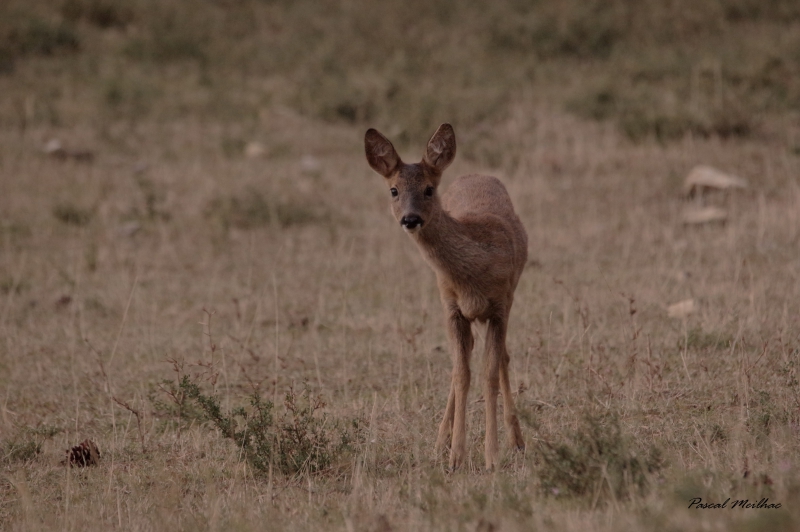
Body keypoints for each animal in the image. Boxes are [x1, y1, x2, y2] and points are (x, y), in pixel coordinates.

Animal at [366, 123, 528, 470]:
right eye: (393, 190)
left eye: (429, 189)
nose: (410, 219)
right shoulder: (451, 307)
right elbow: (461, 374)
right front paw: (455, 456)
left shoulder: (500, 305)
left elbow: (490, 373)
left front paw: (492, 457)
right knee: (463, 361)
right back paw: (441, 442)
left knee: (502, 358)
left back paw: (517, 440)